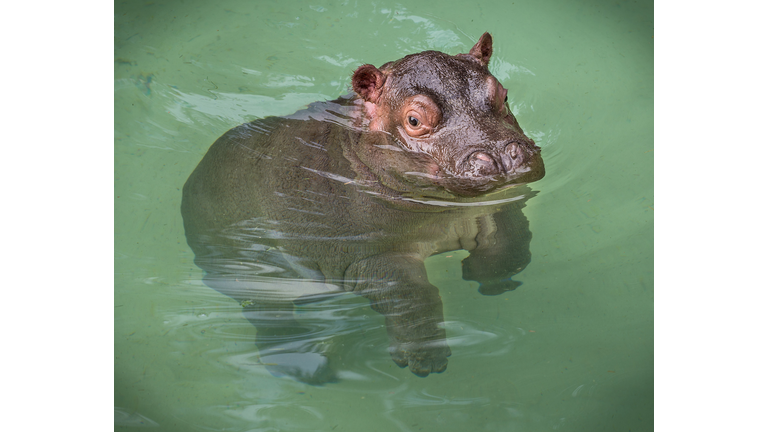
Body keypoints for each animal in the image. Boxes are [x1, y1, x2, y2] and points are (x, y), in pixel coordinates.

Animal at [180, 33, 544, 384]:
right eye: (414, 120)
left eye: (503, 95)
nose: (500, 156)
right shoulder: (367, 258)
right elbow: (412, 297)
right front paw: (425, 360)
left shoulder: (493, 207)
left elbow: (512, 240)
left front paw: (492, 278)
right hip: (245, 273)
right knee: (269, 317)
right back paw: (308, 367)